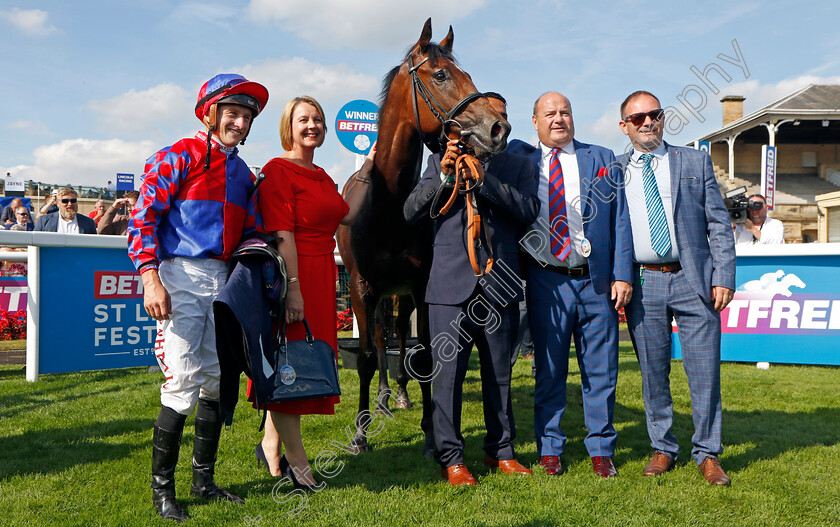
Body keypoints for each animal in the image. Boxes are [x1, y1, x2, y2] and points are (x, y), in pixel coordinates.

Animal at [336, 16, 508, 454]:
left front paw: (432, 430)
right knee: (382, 339)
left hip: (400, 294)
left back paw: (399, 394)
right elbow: (366, 358)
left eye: (468, 74)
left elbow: (426, 353)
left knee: (398, 335)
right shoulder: (361, 287)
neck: (391, 206)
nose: (498, 128)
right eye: (442, 74)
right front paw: (360, 434)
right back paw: (381, 400)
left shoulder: (420, 284)